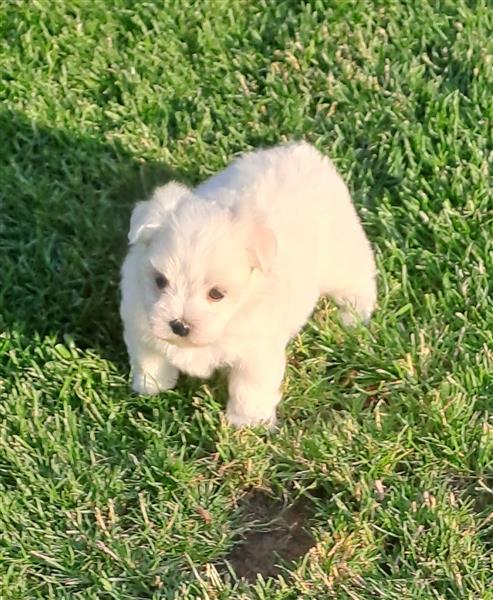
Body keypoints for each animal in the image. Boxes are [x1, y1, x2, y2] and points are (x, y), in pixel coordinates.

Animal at [121, 142, 374, 426]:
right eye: (160, 281)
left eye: (216, 294)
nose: (179, 325)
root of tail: (302, 150)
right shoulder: (139, 324)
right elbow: (150, 360)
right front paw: (151, 387)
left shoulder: (256, 353)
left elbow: (250, 388)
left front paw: (248, 422)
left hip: (340, 259)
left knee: (360, 279)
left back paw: (353, 316)